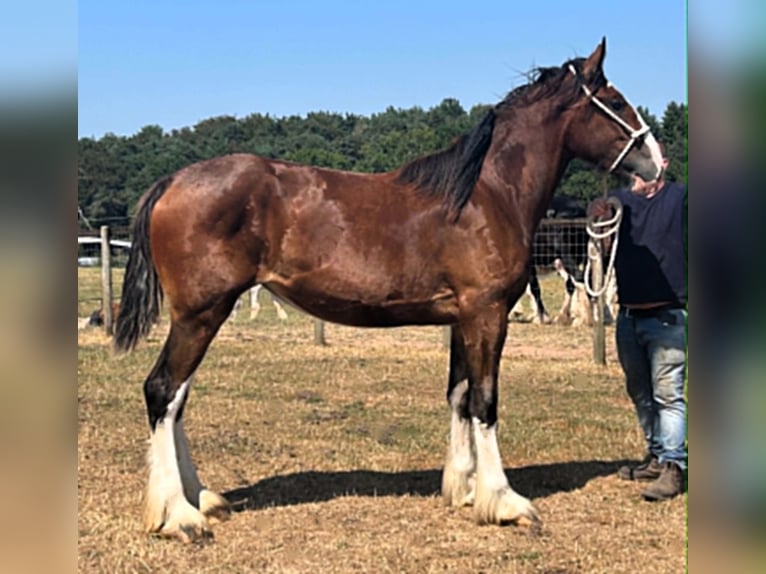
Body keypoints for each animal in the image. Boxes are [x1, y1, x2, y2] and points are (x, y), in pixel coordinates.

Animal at [114, 38, 663, 542]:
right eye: (615, 102)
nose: (656, 164)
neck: (485, 196)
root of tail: (172, 182)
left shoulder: (462, 319)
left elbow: (459, 394)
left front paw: (464, 489)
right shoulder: (486, 315)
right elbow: (485, 401)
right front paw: (504, 501)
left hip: (204, 315)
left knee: (177, 398)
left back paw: (201, 498)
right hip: (201, 314)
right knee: (162, 390)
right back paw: (178, 516)